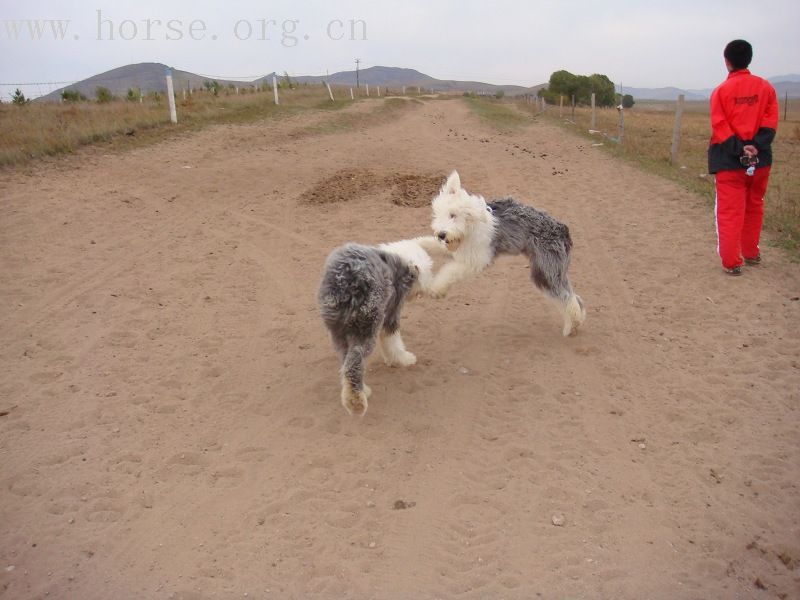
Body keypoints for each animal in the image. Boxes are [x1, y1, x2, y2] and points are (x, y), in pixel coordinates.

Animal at [318, 237, 434, 414]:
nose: (424, 290)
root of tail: (345, 281)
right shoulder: (391, 312)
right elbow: (393, 341)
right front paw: (403, 359)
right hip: (366, 326)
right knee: (354, 363)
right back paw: (356, 401)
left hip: (338, 332)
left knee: (346, 363)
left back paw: (362, 390)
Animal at [424, 171, 588, 336]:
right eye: (438, 214)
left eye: (453, 215)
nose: (441, 234)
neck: (471, 223)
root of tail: (563, 230)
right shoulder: (459, 248)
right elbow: (430, 244)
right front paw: (419, 245)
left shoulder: (476, 260)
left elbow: (450, 271)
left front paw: (436, 289)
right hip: (548, 272)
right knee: (573, 297)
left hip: (546, 271)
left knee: (568, 298)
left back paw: (572, 325)